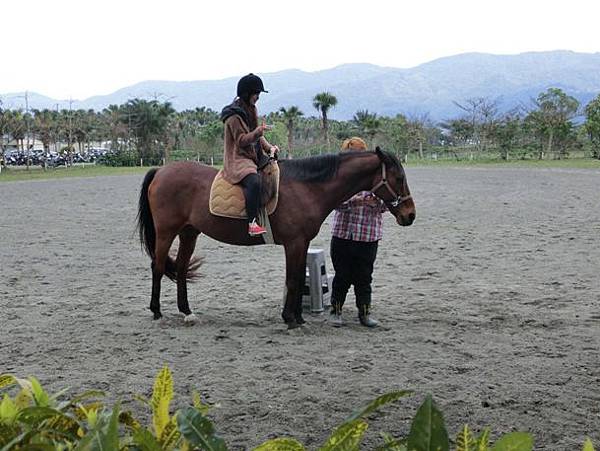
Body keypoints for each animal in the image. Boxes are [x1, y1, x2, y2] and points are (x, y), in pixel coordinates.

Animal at [137, 148, 414, 328]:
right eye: (399, 178)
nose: (410, 215)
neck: (306, 187)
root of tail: (161, 171)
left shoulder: (302, 244)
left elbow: (297, 277)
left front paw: (297, 317)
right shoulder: (294, 243)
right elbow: (292, 280)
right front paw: (290, 319)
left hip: (189, 233)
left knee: (181, 269)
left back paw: (187, 312)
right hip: (166, 232)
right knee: (157, 267)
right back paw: (157, 311)